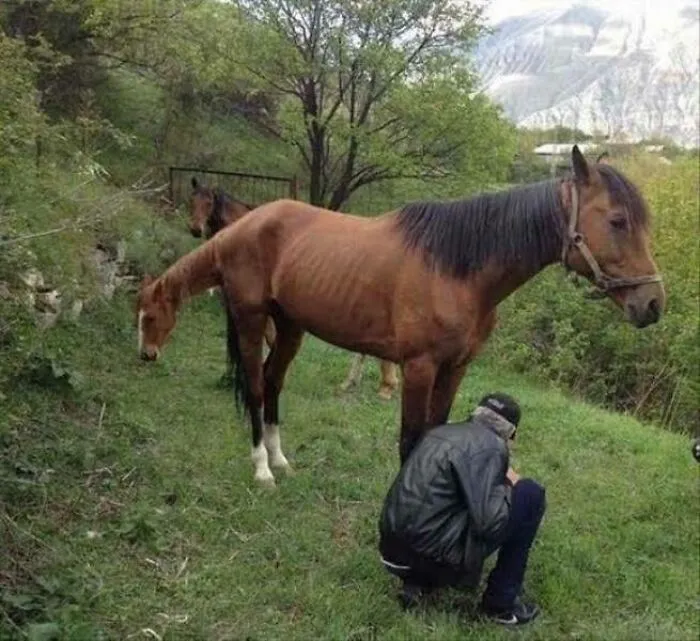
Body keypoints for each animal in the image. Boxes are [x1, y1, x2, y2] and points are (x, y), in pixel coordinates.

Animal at [137, 146, 665, 487]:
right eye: (617, 220)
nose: (653, 304)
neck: (457, 268)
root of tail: (245, 226)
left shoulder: (454, 369)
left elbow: (433, 432)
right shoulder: (418, 368)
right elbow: (410, 440)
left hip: (289, 326)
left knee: (272, 382)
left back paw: (280, 459)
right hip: (251, 322)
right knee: (253, 384)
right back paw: (262, 469)